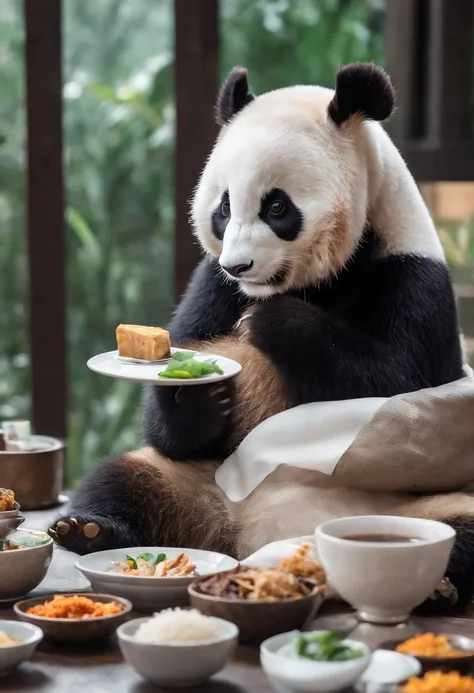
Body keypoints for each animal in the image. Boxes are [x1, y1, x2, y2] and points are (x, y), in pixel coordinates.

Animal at [49, 63, 474, 612]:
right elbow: (167, 422)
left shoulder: (411, 276)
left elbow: (400, 380)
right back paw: (87, 529)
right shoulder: (211, 286)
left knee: (456, 530)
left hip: (413, 508)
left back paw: (439, 588)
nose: (239, 265)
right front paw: (200, 394)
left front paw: (276, 325)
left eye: (276, 206)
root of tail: (252, 538)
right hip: (196, 483)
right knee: (127, 474)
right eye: (224, 207)